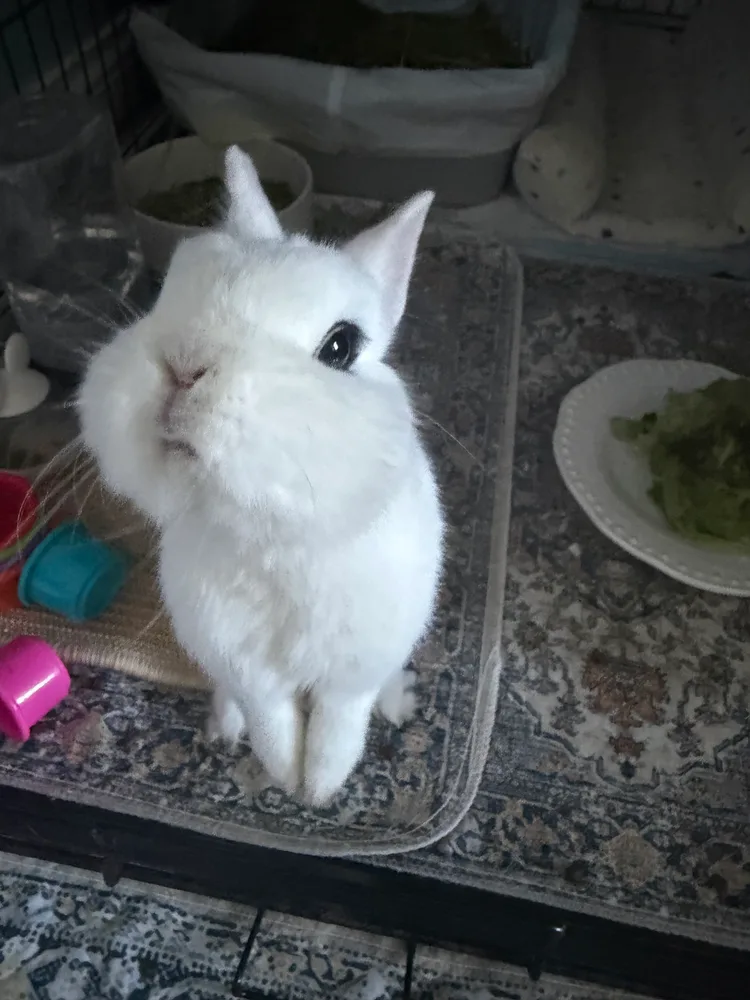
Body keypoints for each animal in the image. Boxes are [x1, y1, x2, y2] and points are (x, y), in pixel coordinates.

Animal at [78, 146, 444, 805]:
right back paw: (223, 728)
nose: (184, 365)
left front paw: (319, 790)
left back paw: (399, 703)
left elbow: (338, 726)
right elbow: (273, 722)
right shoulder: (246, 667)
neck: (274, 534)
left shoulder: (353, 667)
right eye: (167, 293)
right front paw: (286, 777)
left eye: (341, 346)